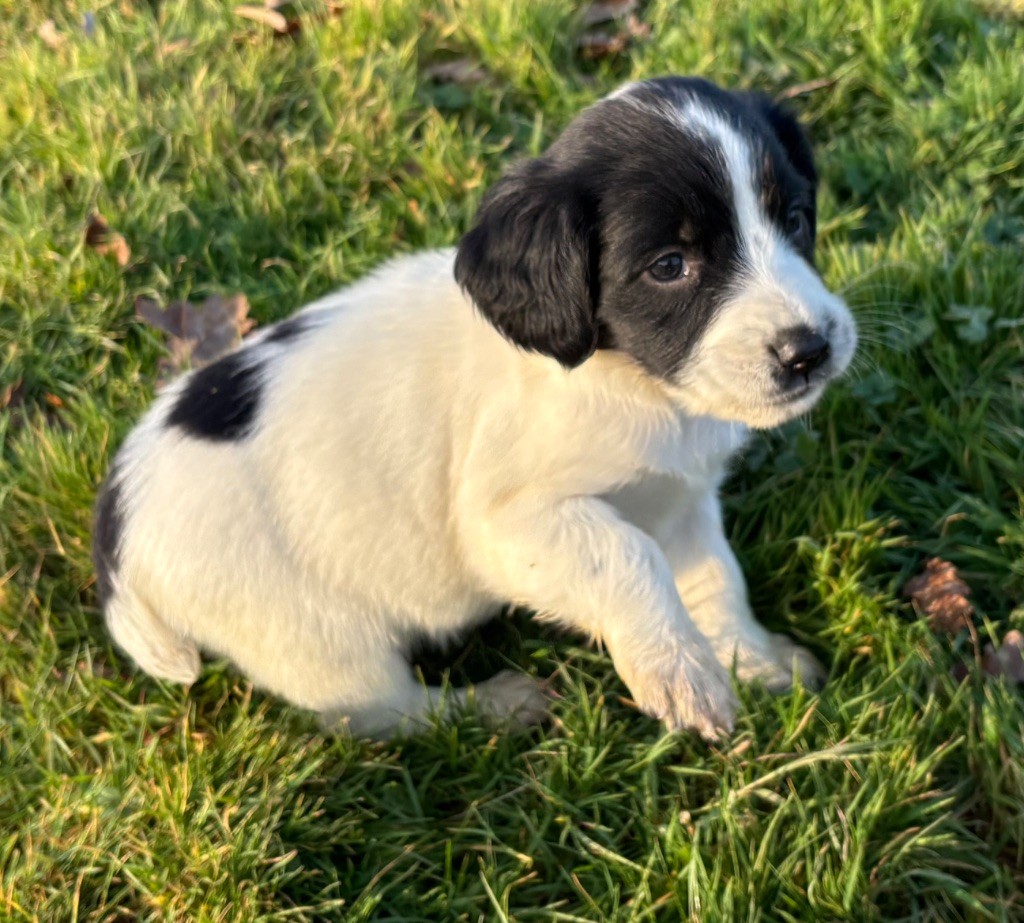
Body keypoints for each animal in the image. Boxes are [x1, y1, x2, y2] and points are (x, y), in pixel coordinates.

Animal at [92, 77, 856, 741]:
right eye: (670, 265)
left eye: (794, 218)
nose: (809, 351)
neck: (635, 384)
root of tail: (117, 528)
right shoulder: (505, 523)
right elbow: (628, 557)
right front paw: (681, 674)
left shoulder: (680, 498)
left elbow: (715, 579)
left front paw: (754, 657)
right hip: (316, 637)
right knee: (384, 712)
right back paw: (494, 706)